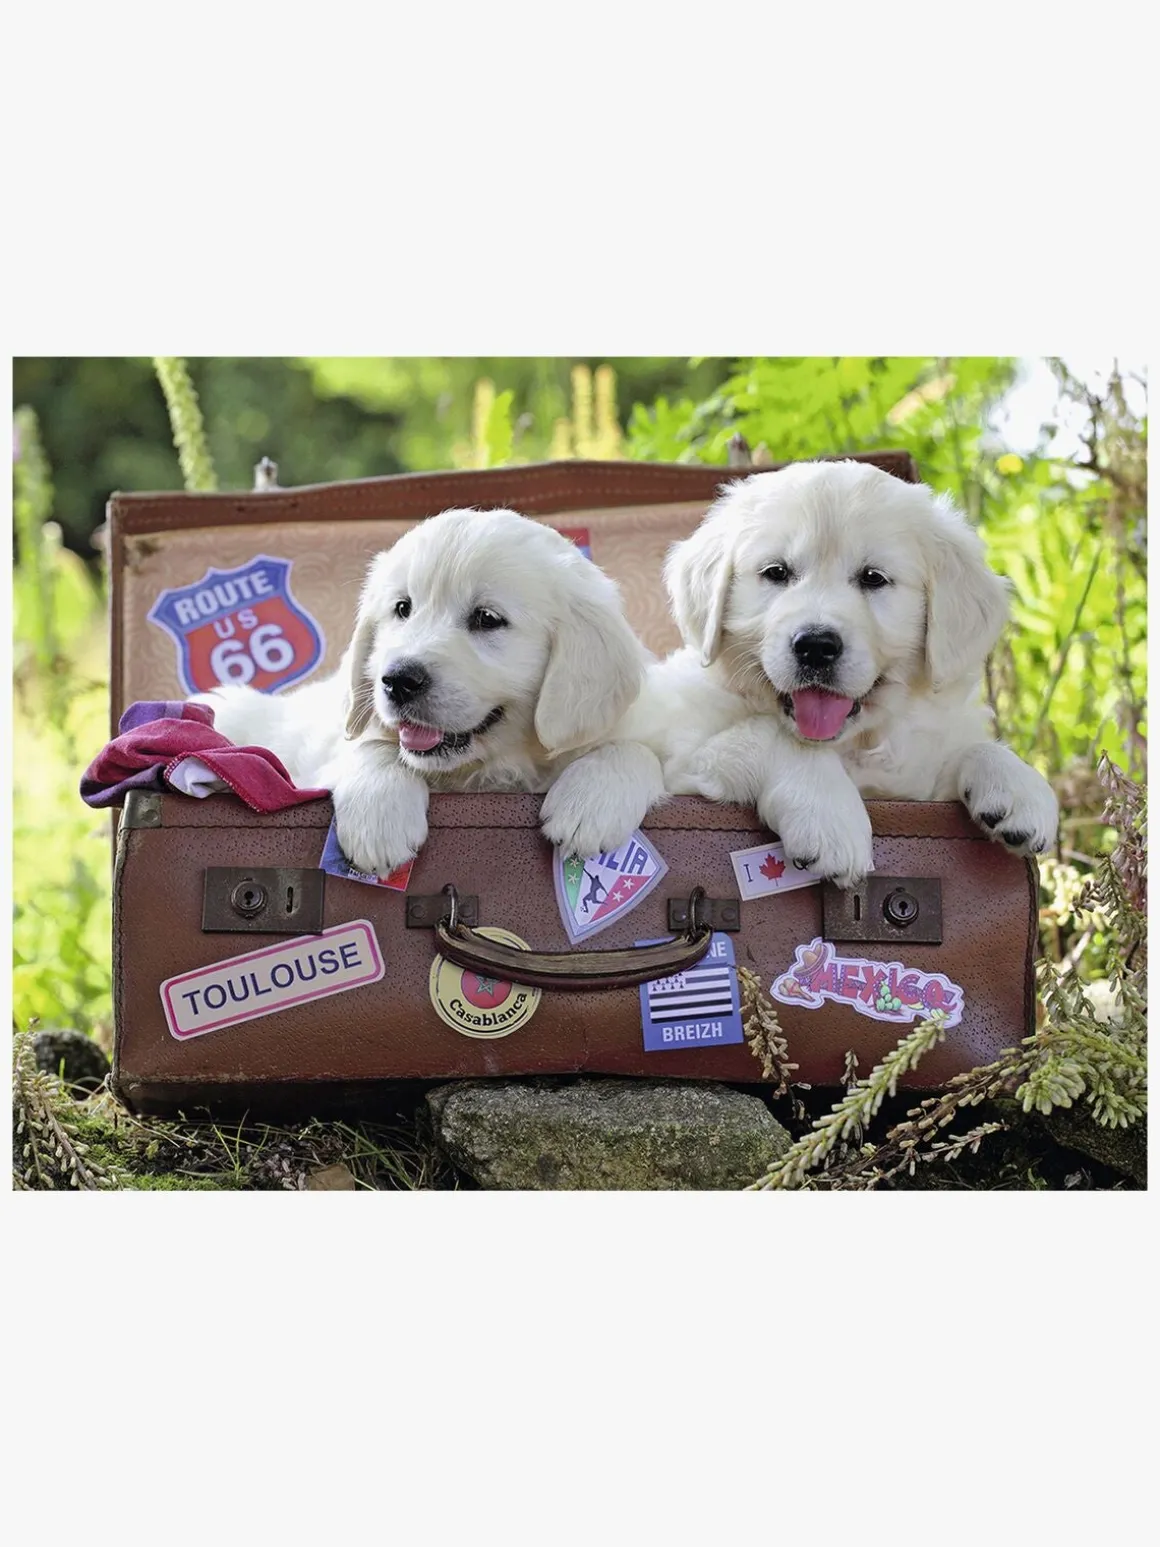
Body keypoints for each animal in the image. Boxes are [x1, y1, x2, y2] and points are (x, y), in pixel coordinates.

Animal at [197, 508, 666, 874]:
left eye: (487, 618)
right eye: (402, 608)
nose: (397, 679)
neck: (485, 771)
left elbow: (638, 750)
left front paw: (591, 803)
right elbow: (372, 746)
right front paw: (379, 819)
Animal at [632, 459, 1059, 886]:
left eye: (873, 578)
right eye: (776, 572)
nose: (815, 646)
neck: (854, 744)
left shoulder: (914, 780)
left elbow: (966, 748)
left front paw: (1017, 784)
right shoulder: (684, 756)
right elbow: (772, 734)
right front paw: (828, 816)